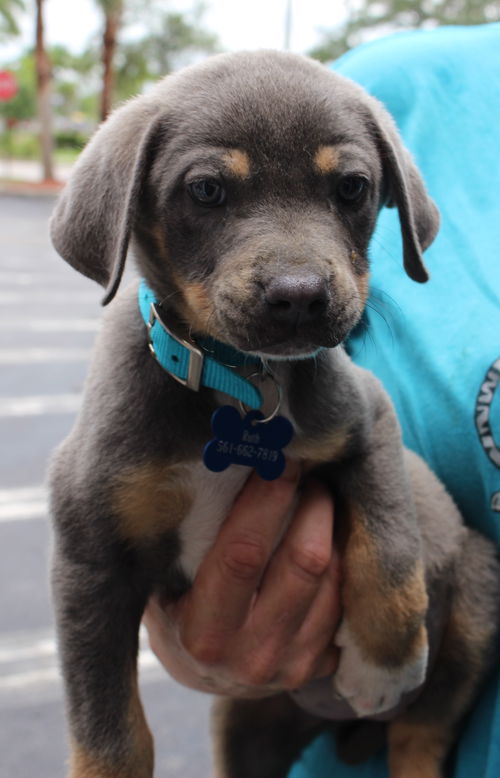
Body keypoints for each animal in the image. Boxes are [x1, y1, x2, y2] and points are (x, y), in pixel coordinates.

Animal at [47, 50, 500, 776]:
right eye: (205, 190)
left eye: (352, 188)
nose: (300, 297)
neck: (238, 380)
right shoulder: (90, 559)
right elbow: (109, 727)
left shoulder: (370, 419)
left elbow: (390, 543)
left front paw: (385, 662)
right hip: (245, 724)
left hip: (479, 600)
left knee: (422, 733)